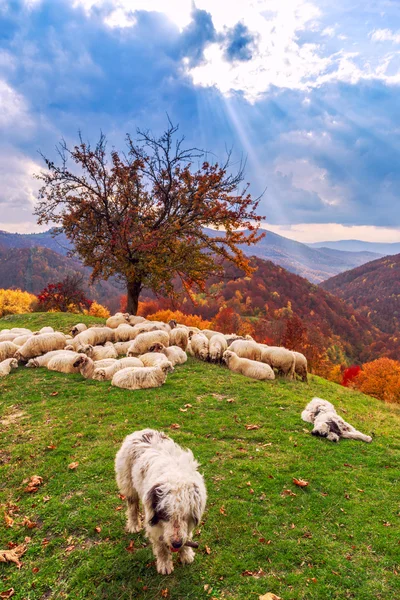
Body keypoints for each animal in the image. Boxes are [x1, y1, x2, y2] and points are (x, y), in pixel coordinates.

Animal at [113, 428, 205, 576]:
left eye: (185, 515)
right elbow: (161, 547)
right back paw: (134, 525)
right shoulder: (154, 524)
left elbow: (187, 536)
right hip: (128, 482)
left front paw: (186, 555)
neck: (175, 476)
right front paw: (165, 565)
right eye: (165, 515)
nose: (176, 544)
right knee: (132, 506)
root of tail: (140, 431)